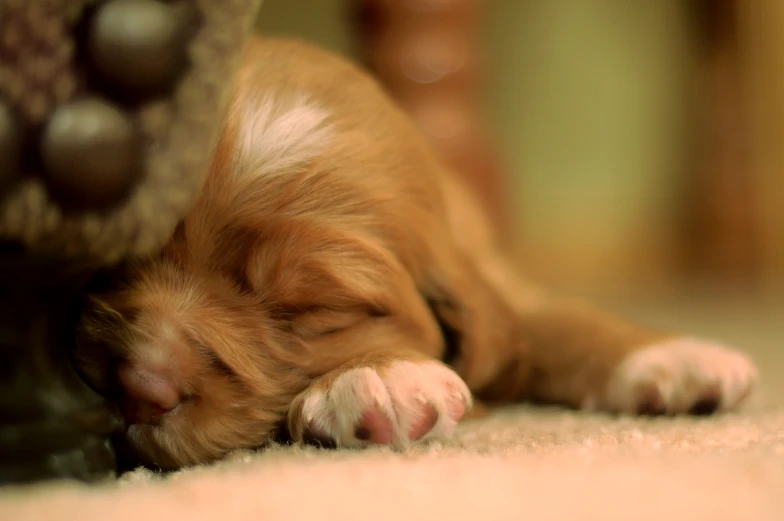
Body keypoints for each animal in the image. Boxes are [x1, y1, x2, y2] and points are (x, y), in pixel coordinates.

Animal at [72, 35, 752, 468]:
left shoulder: (494, 276)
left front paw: (675, 357)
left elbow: (558, 319)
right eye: (119, 259)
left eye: (312, 312)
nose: (139, 389)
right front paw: (384, 374)